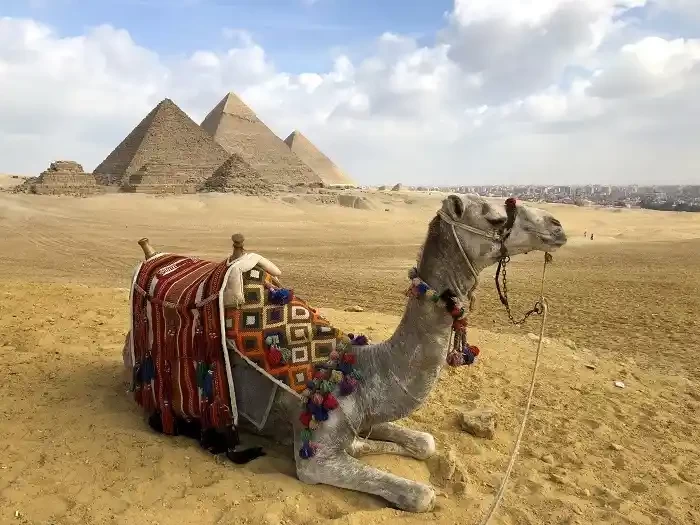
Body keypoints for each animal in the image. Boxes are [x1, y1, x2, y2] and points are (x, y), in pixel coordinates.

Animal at [123, 194, 567, 513]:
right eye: (494, 218)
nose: (558, 225)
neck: (363, 370)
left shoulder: (367, 413)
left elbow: (424, 442)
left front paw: (383, 446)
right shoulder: (316, 455)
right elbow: (421, 495)